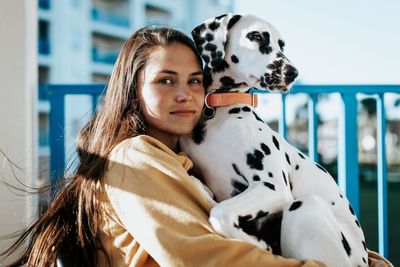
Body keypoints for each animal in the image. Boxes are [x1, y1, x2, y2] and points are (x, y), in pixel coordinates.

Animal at [180, 14, 368, 267]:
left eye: (282, 45)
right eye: (256, 36)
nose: (293, 72)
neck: (220, 110)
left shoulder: (273, 187)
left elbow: (220, 214)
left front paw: (259, 244)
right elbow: (212, 201)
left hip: (304, 207)